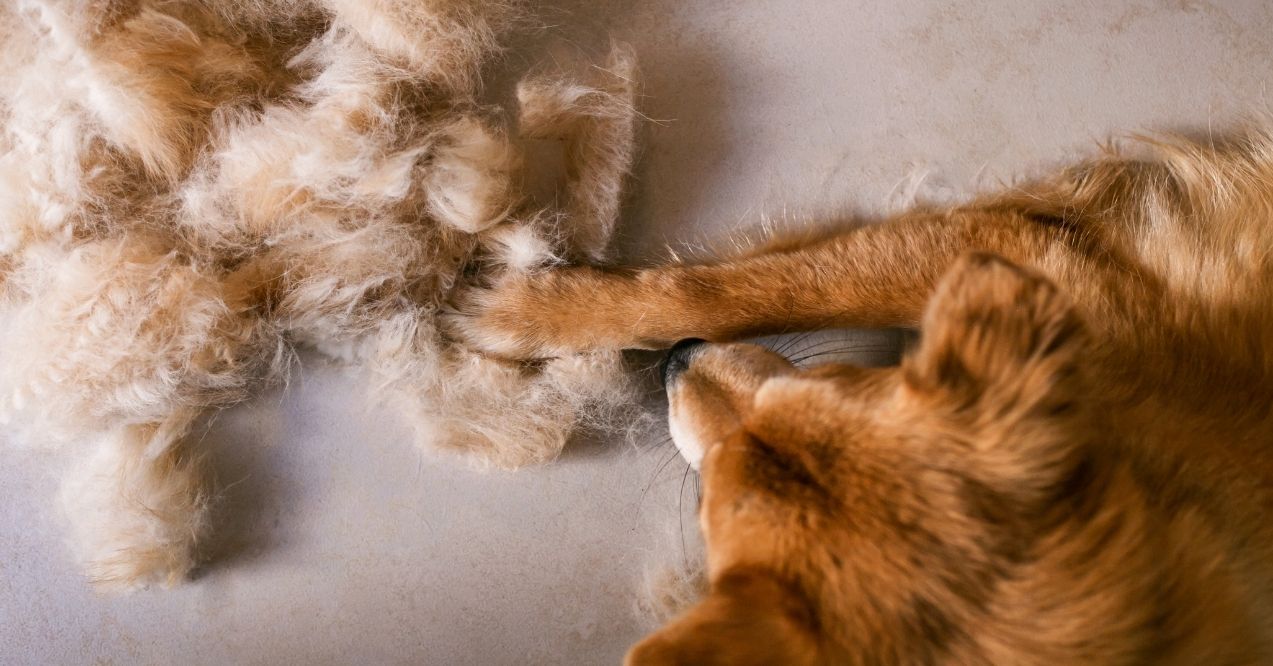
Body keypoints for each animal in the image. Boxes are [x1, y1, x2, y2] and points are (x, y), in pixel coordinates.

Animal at [455, 131, 1273, 666]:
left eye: (708, 503)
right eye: (822, 384)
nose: (679, 364)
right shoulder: (1020, 254)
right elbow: (747, 289)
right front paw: (533, 313)